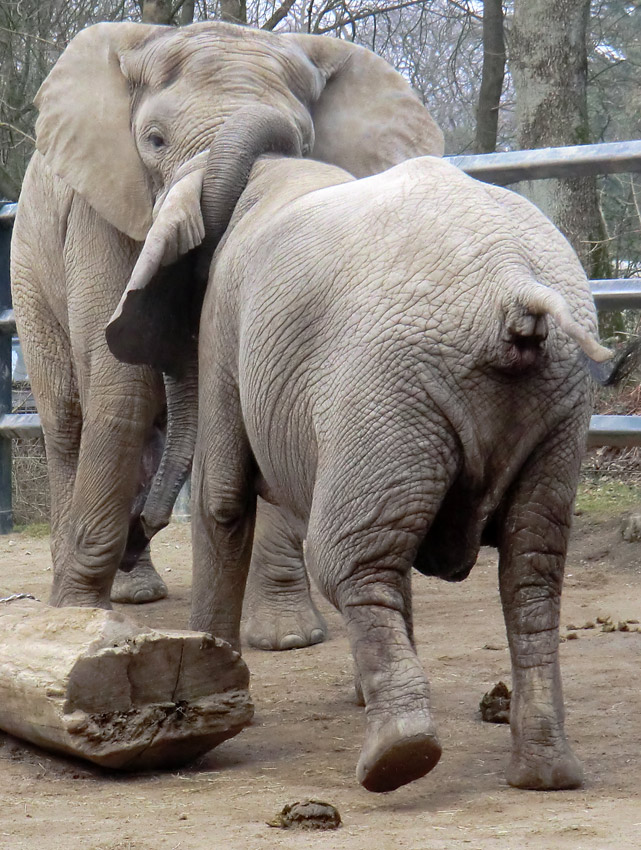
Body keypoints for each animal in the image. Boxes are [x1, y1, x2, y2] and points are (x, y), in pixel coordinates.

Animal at [10, 18, 442, 624]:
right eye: (154, 141)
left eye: (302, 146)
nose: (142, 529)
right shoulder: (102, 212)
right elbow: (123, 388)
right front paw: (80, 613)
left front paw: (287, 634)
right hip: (28, 269)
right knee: (69, 419)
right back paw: (97, 596)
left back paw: (134, 586)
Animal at [105, 107, 620, 796]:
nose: (143, 525)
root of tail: (516, 285)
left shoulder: (223, 325)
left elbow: (221, 503)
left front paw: (213, 685)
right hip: (554, 401)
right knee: (530, 567)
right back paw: (544, 776)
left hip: (388, 384)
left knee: (347, 557)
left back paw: (395, 759)